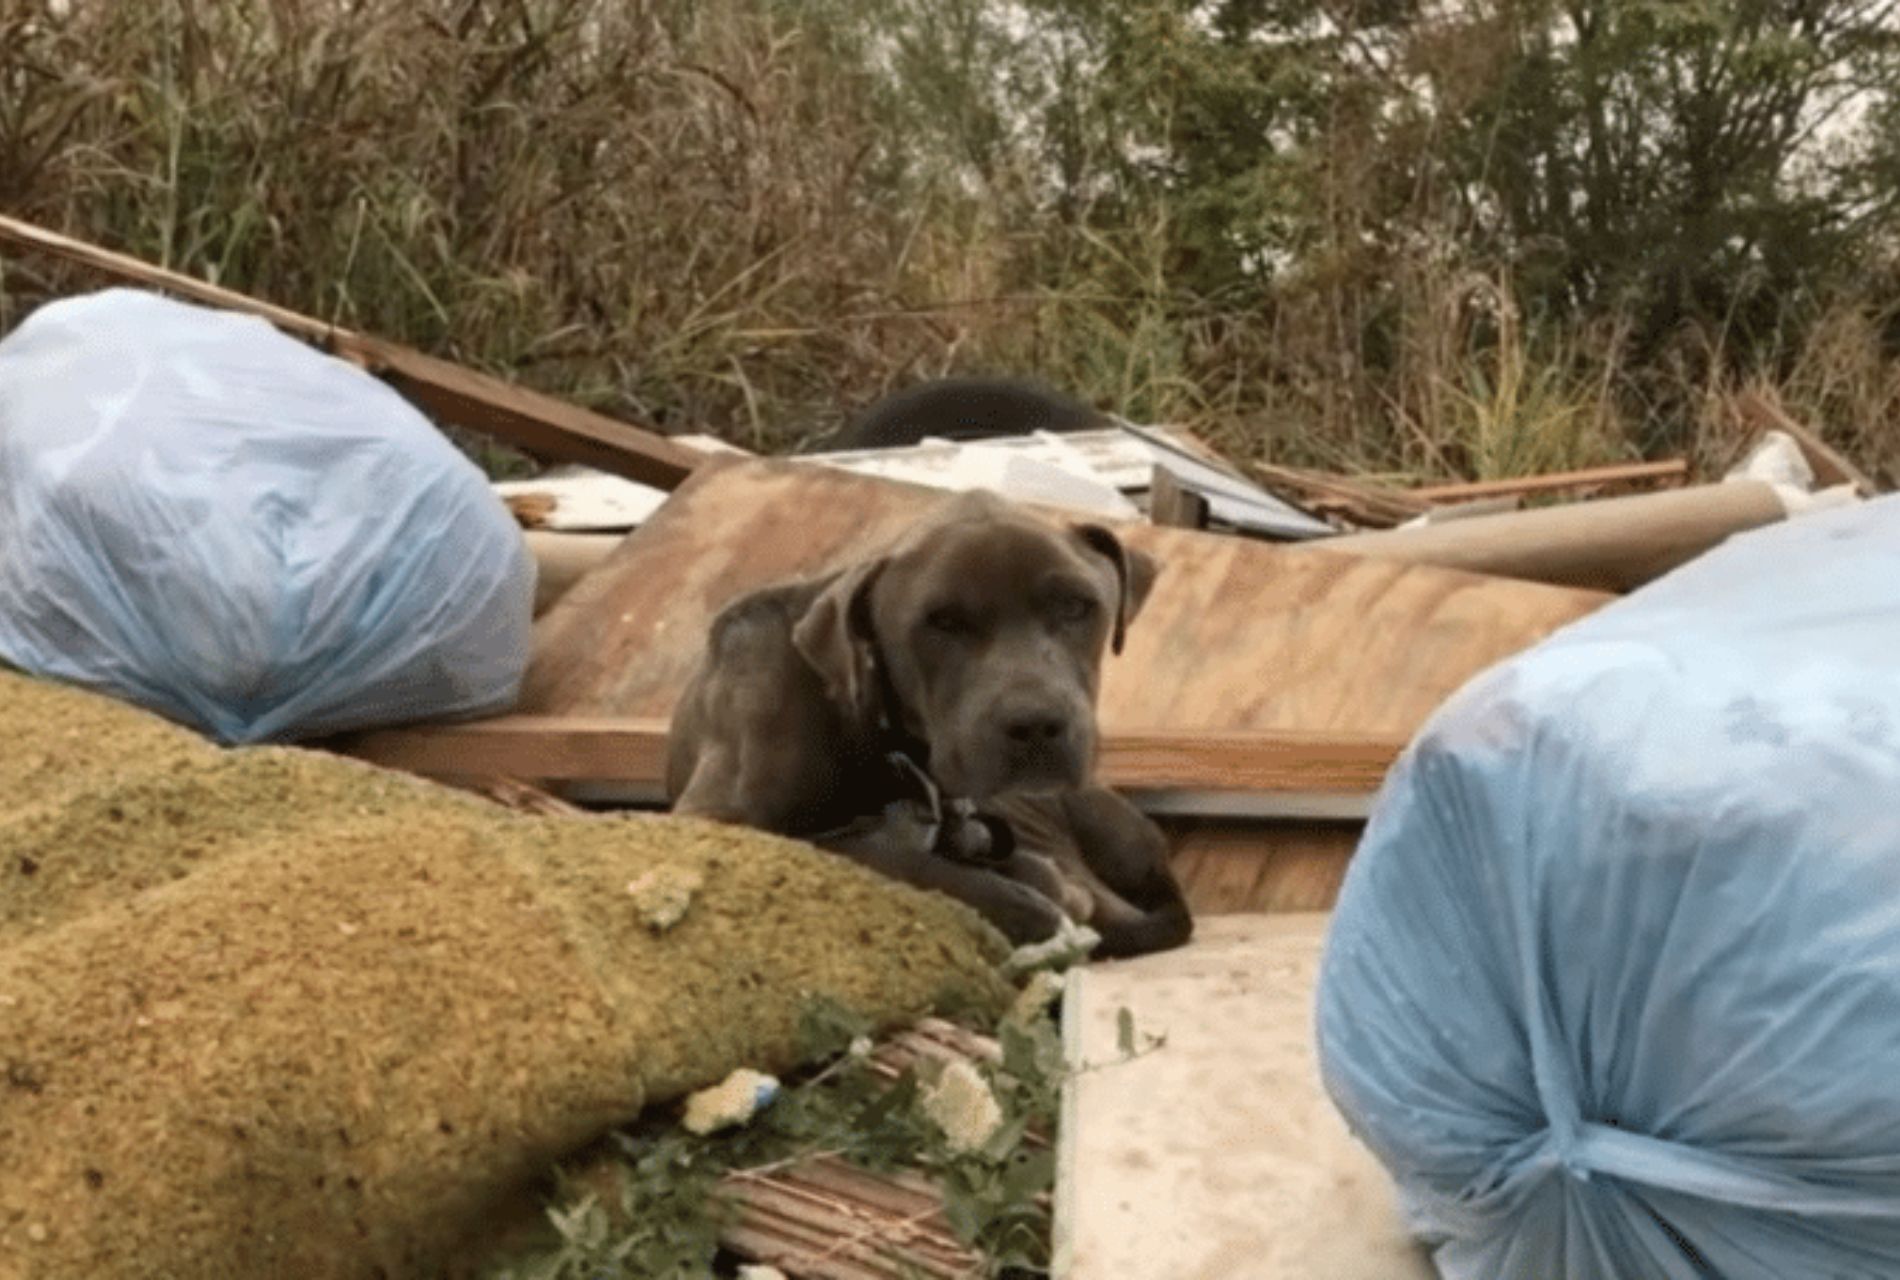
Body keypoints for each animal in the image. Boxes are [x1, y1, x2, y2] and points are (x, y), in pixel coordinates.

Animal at [668, 489, 1185, 957]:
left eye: (1077, 606)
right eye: (943, 622)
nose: (1036, 724)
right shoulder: (711, 819)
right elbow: (861, 853)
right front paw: (1018, 904)